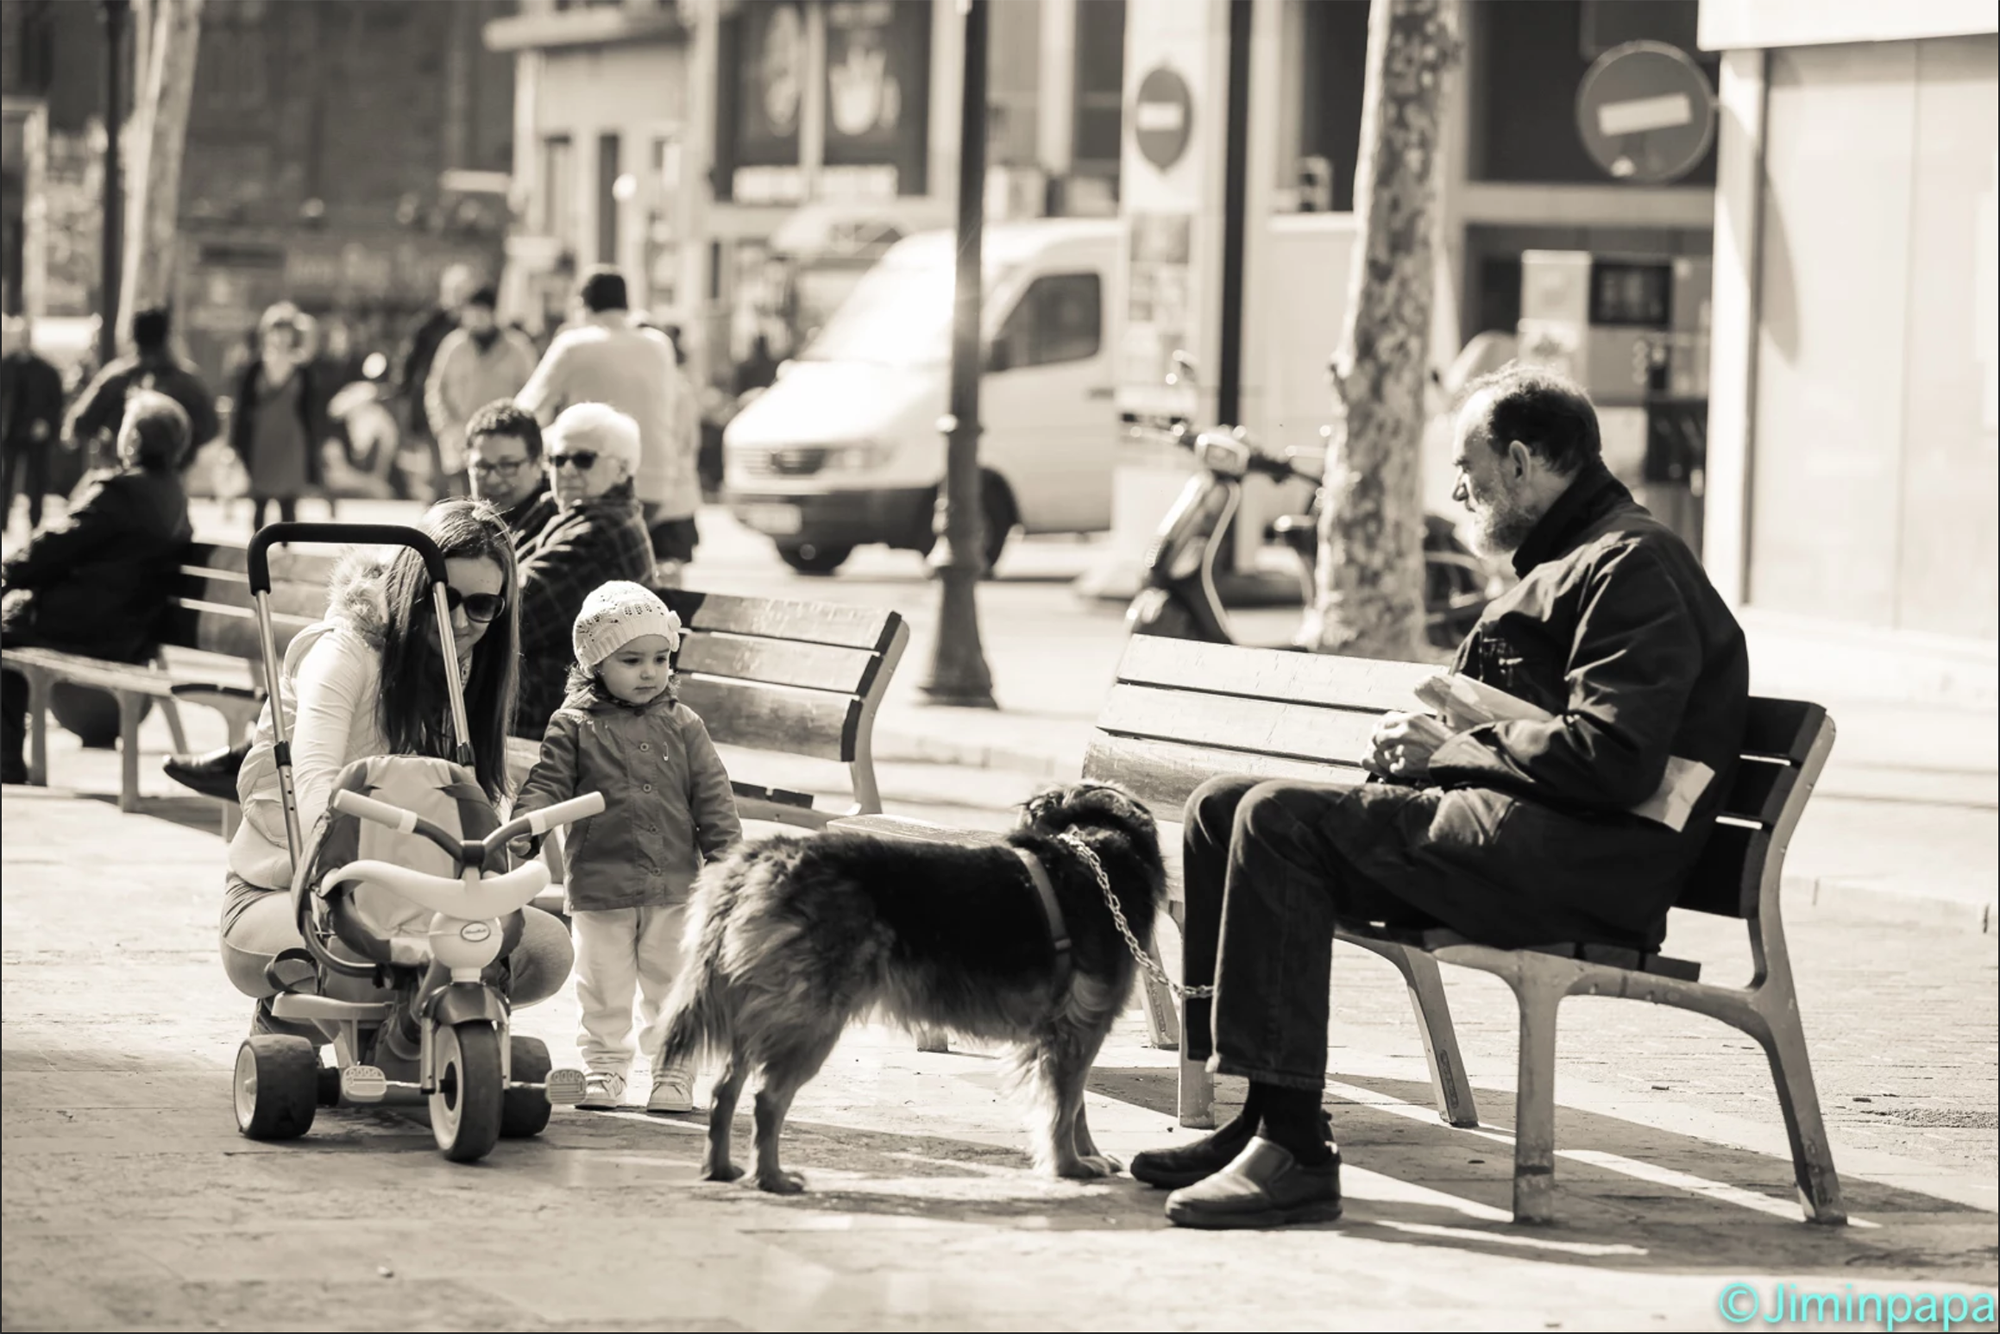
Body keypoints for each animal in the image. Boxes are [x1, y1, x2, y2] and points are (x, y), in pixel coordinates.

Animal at [656, 776, 1168, 1192]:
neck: (1096, 857)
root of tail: (765, 855)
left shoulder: (1069, 1031)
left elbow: (1075, 1104)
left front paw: (1087, 1155)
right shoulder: (1077, 1028)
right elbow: (1064, 1107)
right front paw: (1069, 1166)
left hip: (763, 1006)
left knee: (726, 1090)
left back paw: (721, 1169)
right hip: (810, 1019)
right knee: (767, 1100)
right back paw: (771, 1178)